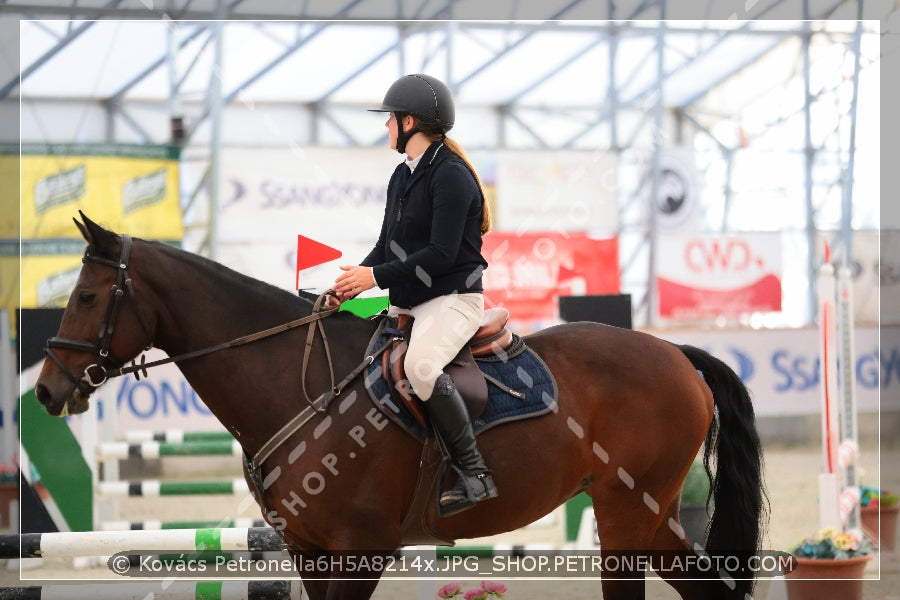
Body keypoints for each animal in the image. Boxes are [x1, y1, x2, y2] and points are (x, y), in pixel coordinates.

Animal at [37, 216, 768, 600]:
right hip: (650, 518)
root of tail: (676, 355)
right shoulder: (311, 552)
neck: (298, 386)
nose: (46, 390)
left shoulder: (362, 549)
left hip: (623, 520)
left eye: (88, 297)